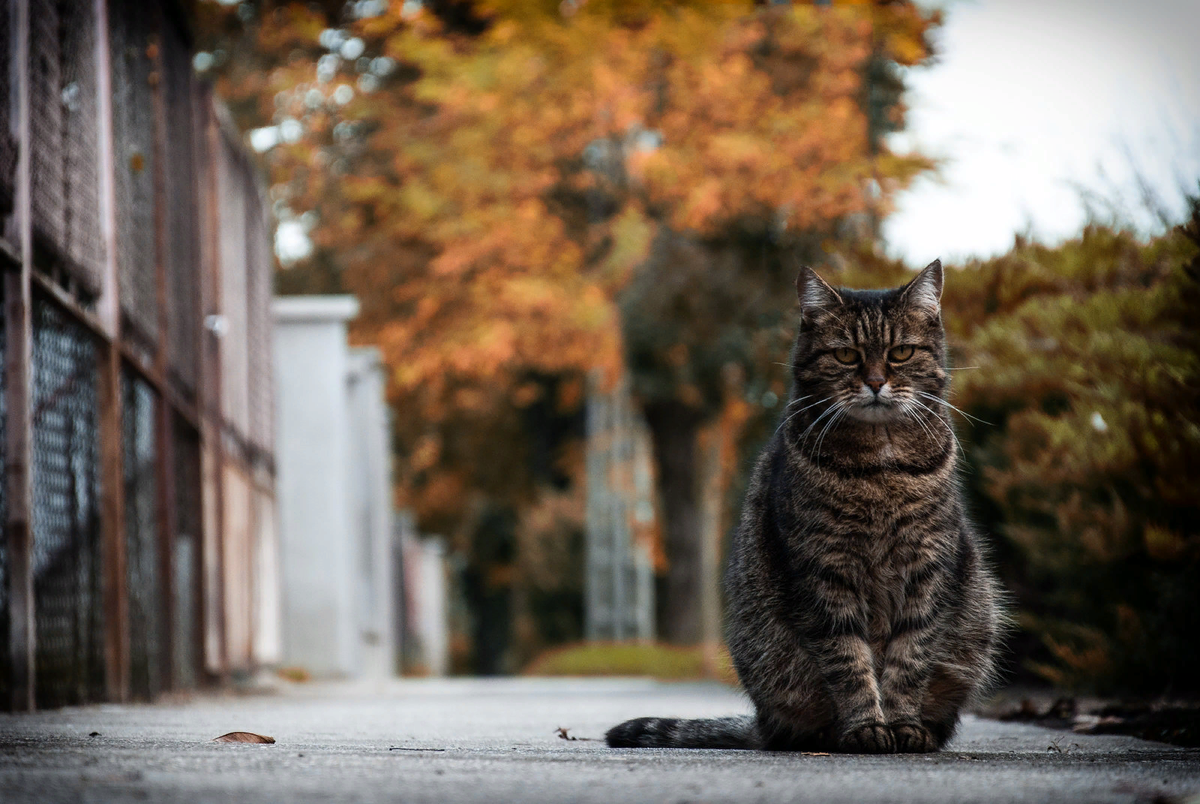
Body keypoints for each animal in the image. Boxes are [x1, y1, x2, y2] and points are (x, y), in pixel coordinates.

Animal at [604, 262, 1008, 758]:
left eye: (901, 352)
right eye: (847, 355)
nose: (876, 382)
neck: (881, 466)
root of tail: (762, 720)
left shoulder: (925, 568)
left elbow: (910, 655)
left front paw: (902, 725)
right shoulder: (823, 569)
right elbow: (849, 661)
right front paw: (867, 727)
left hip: (978, 612)